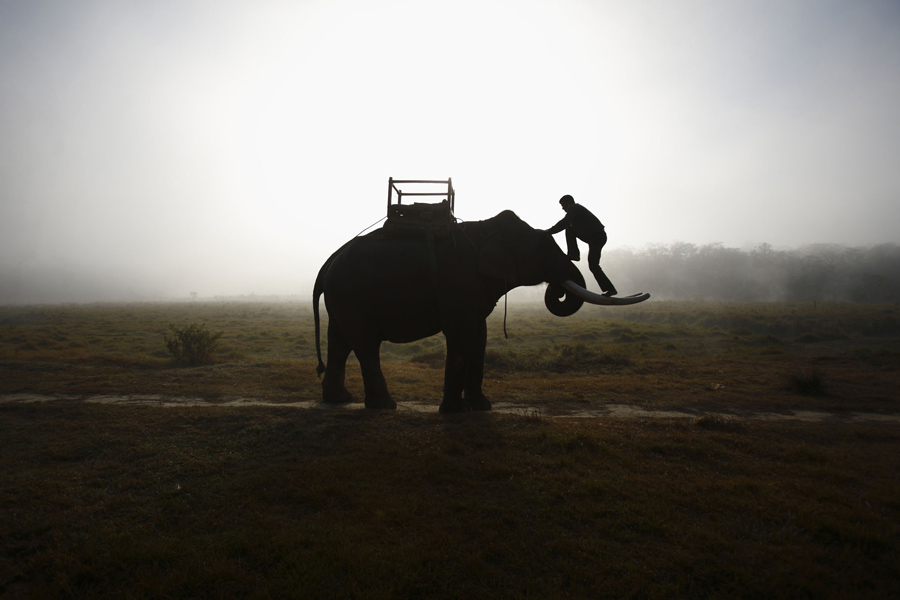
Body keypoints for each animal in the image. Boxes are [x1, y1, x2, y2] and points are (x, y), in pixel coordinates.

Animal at [312, 209, 644, 414]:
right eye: (543, 249)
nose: (559, 287)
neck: (487, 229)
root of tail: (328, 261)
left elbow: (479, 336)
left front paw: (481, 407)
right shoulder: (458, 281)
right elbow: (462, 333)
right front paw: (454, 411)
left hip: (343, 297)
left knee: (340, 341)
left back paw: (340, 400)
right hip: (352, 294)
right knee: (365, 344)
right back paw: (384, 405)